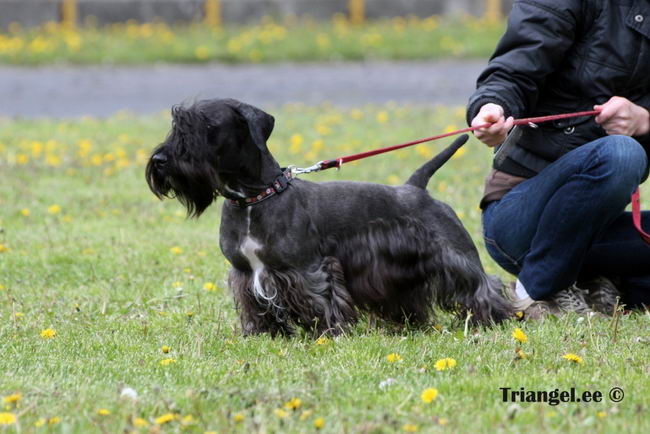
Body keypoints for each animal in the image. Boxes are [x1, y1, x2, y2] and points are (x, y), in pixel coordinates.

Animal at [146, 98, 512, 336]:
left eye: (206, 125)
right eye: (176, 125)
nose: (161, 161)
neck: (254, 198)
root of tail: (416, 187)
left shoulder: (307, 269)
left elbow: (320, 300)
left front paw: (328, 332)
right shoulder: (245, 273)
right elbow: (254, 304)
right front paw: (262, 333)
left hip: (455, 256)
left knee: (484, 285)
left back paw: (496, 319)